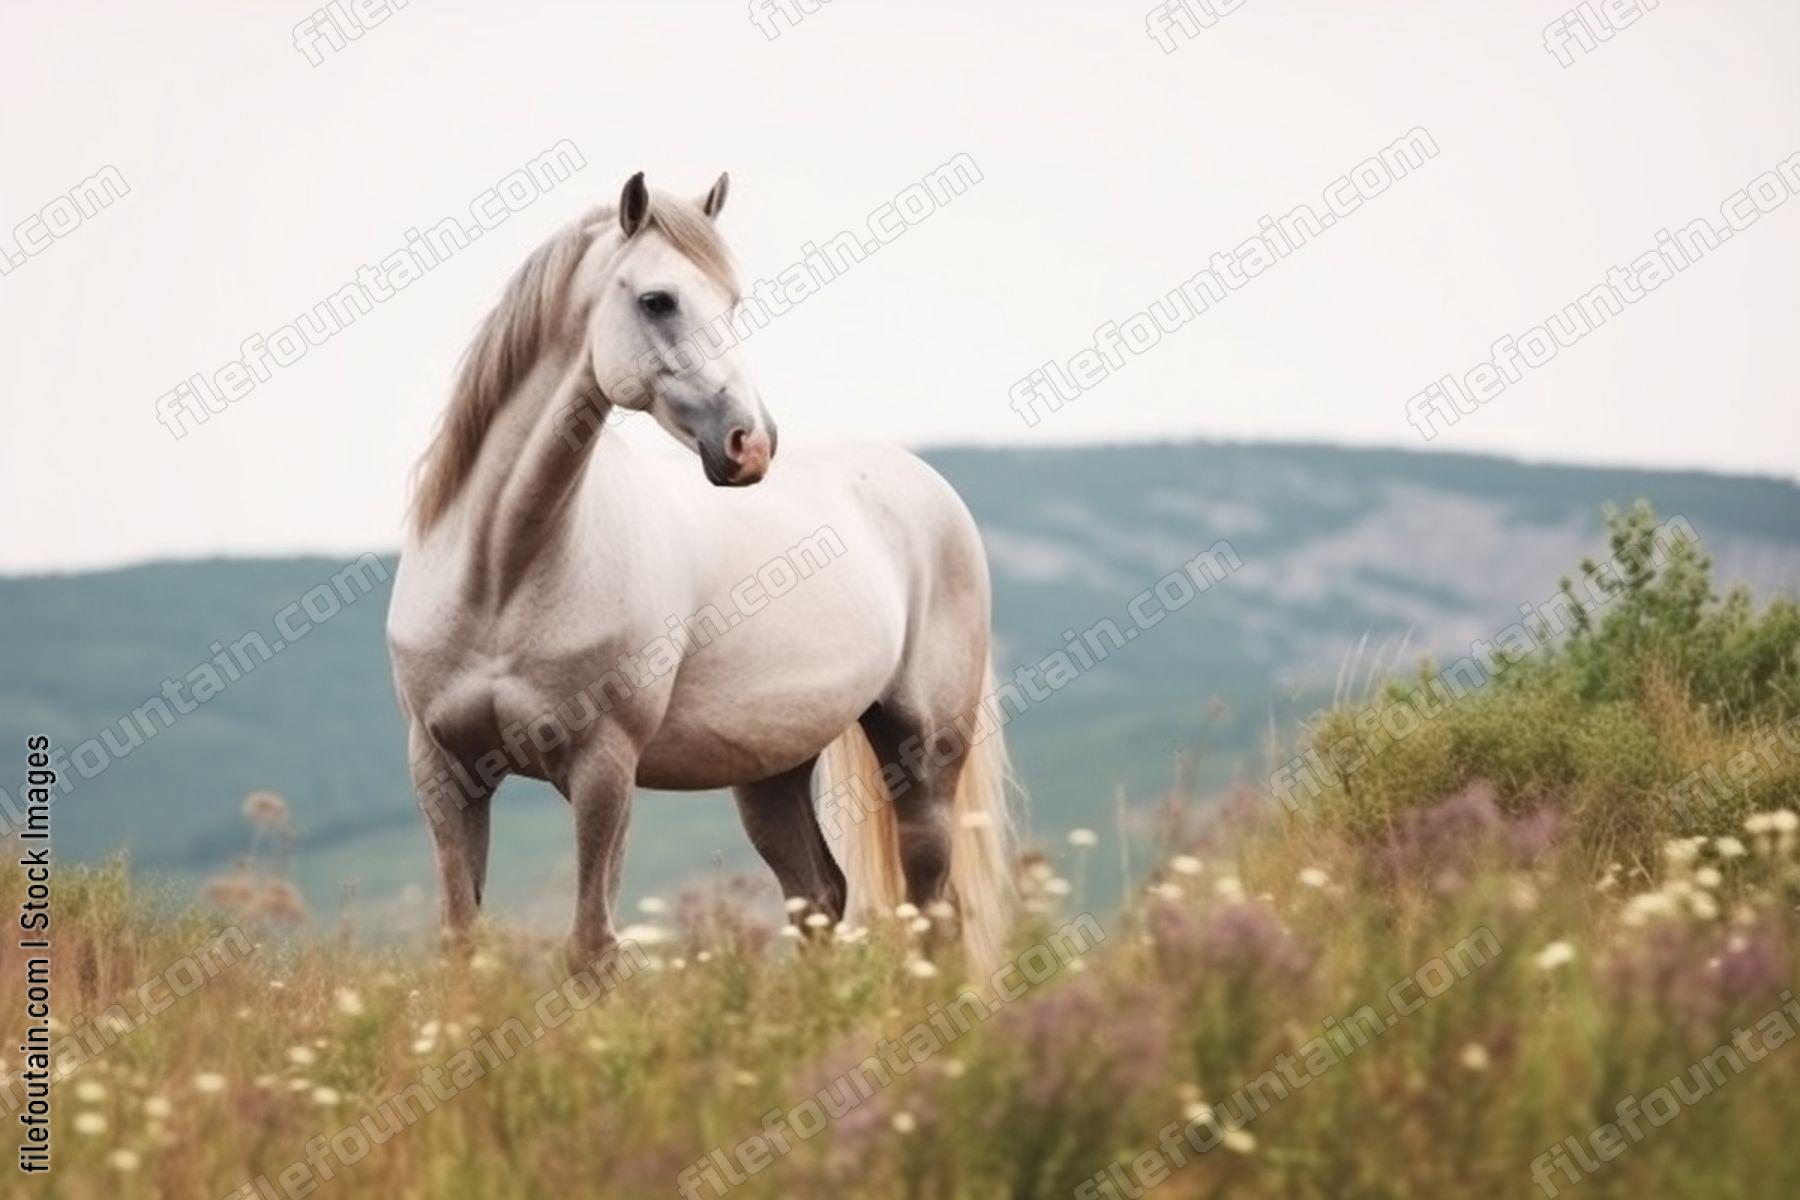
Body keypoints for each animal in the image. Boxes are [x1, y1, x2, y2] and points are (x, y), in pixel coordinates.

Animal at [385, 170, 1015, 971]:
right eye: (658, 300)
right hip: (773, 771)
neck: (503, 573)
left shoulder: (603, 770)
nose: (751, 444)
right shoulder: (444, 770)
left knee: (931, 906)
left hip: (926, 750)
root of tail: (927, 486)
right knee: (820, 895)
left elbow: (591, 948)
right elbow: (461, 943)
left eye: (733, 302)